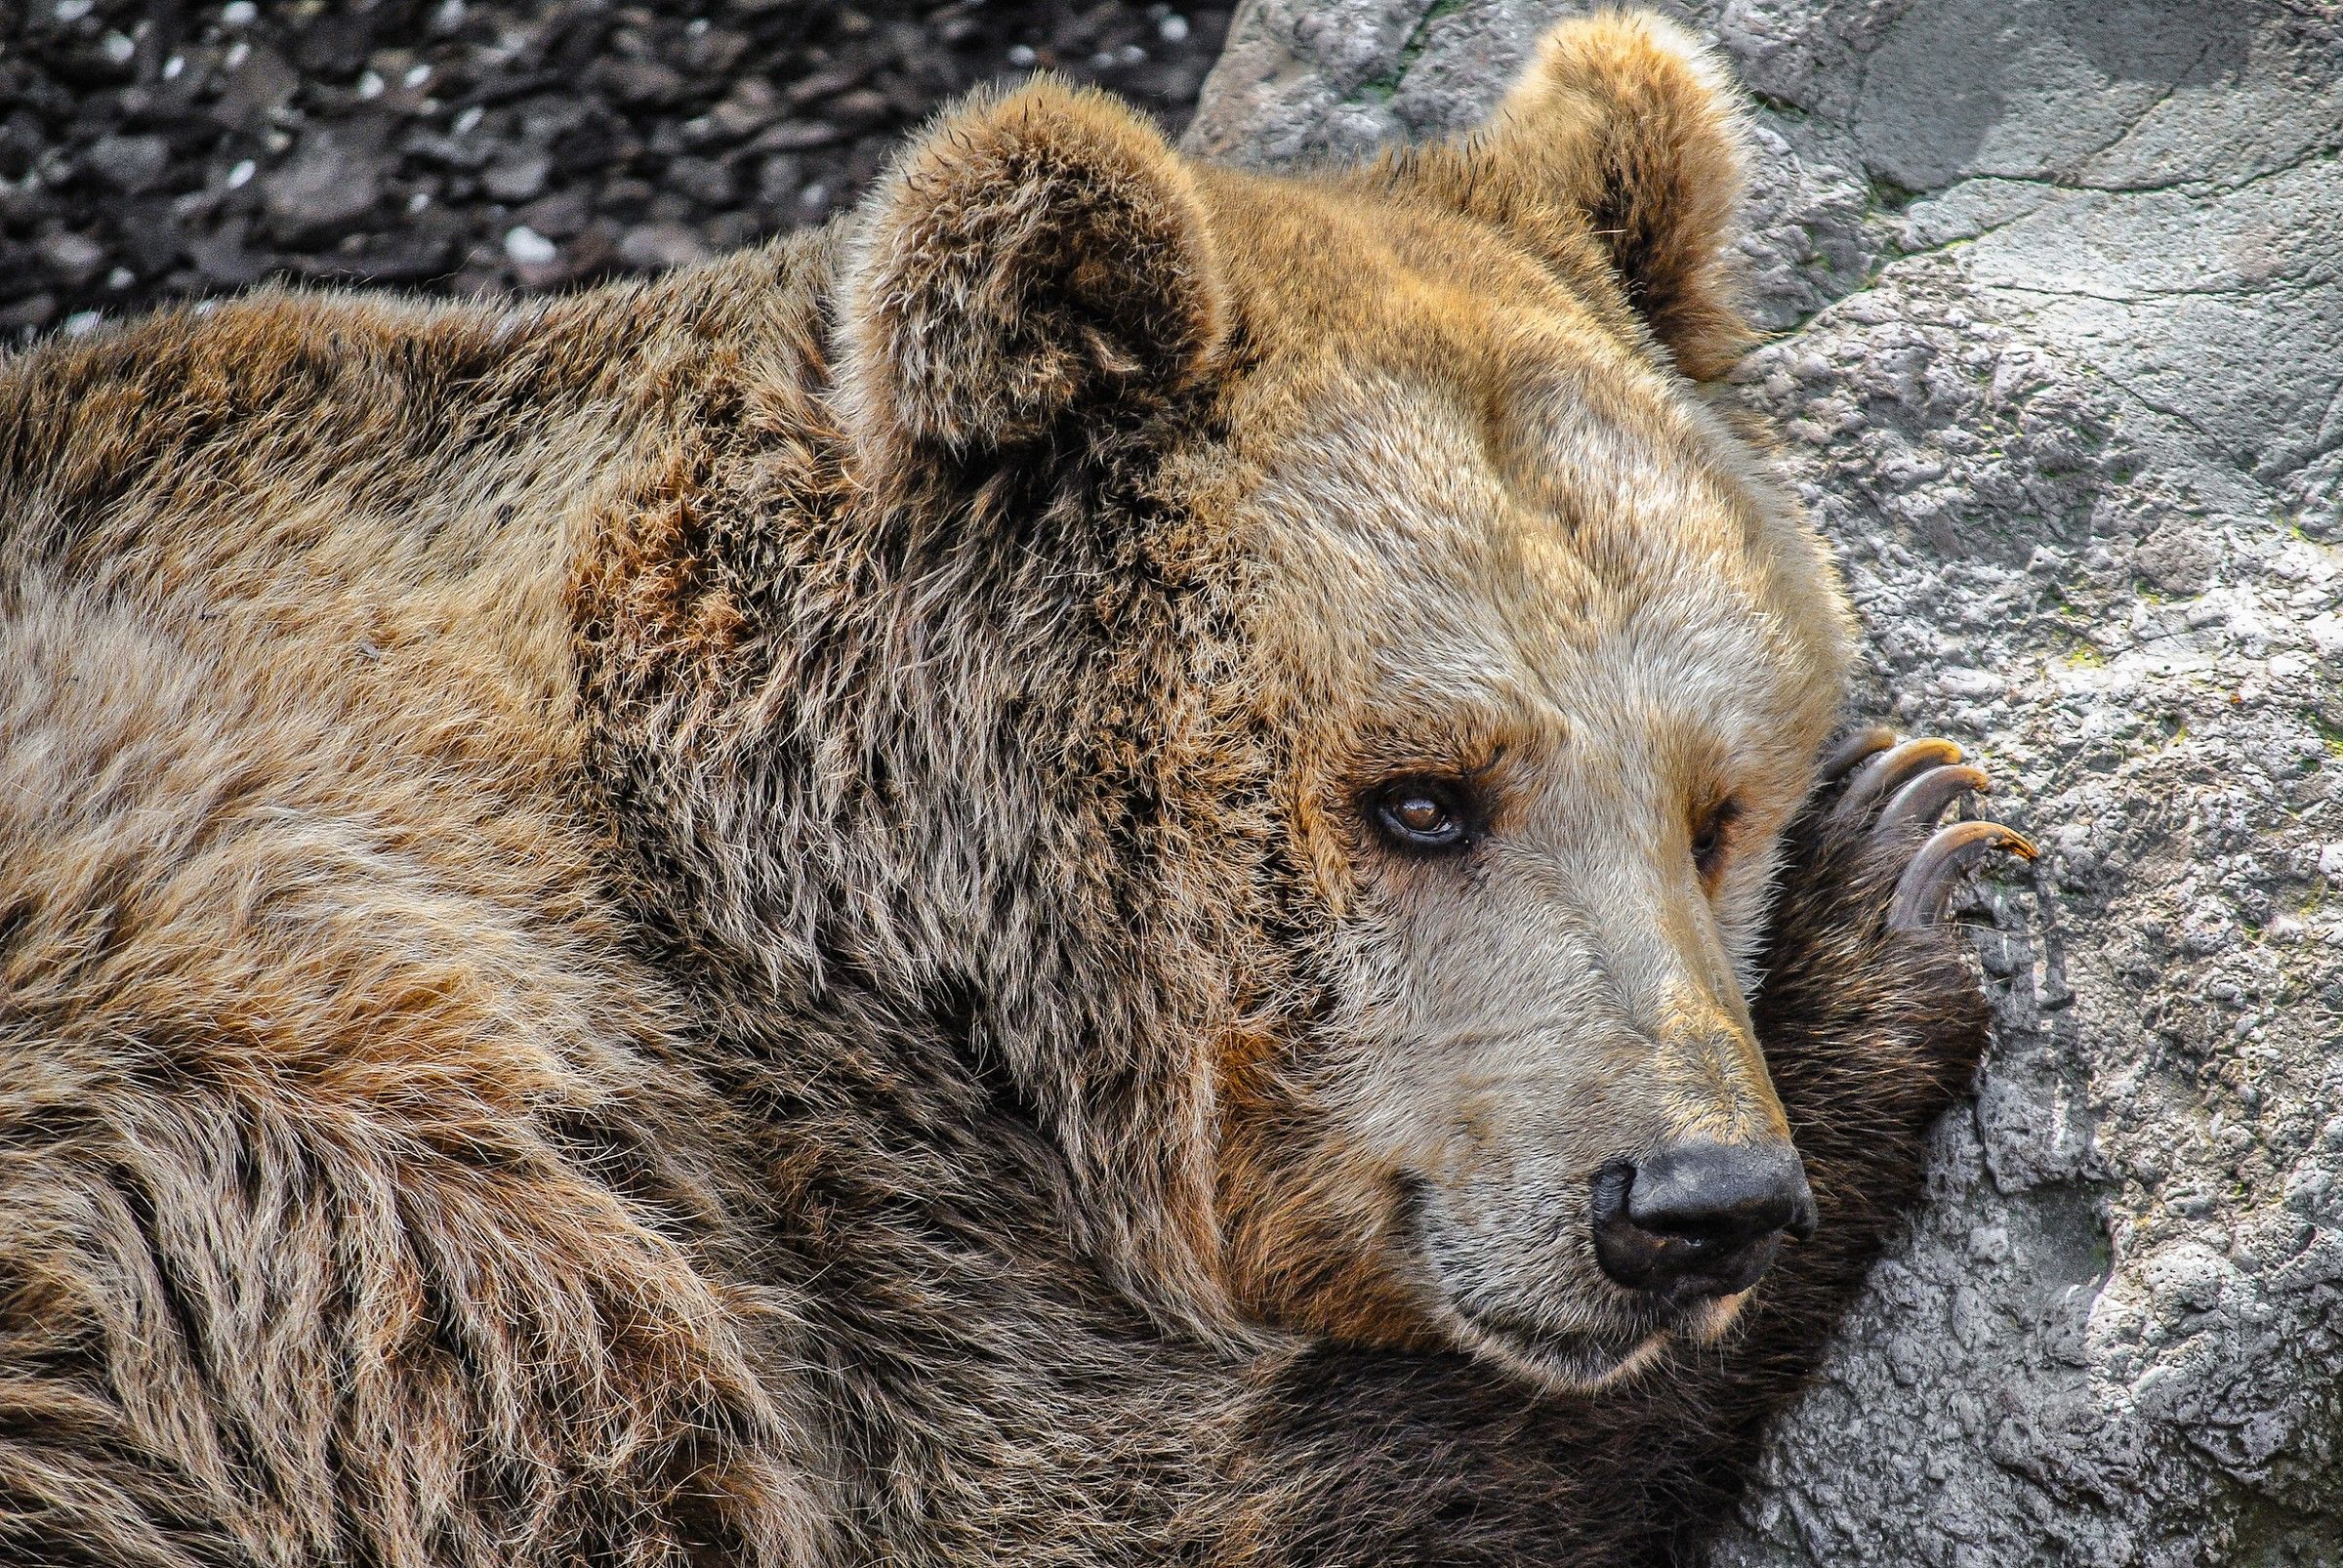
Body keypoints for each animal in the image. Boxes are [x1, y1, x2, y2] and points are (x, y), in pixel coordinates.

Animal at [0, 11, 2029, 1566]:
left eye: (1714, 804)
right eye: (1424, 797)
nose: (1693, 1202)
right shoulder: (563, 1191)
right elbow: (1131, 1506)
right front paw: (1899, 887)